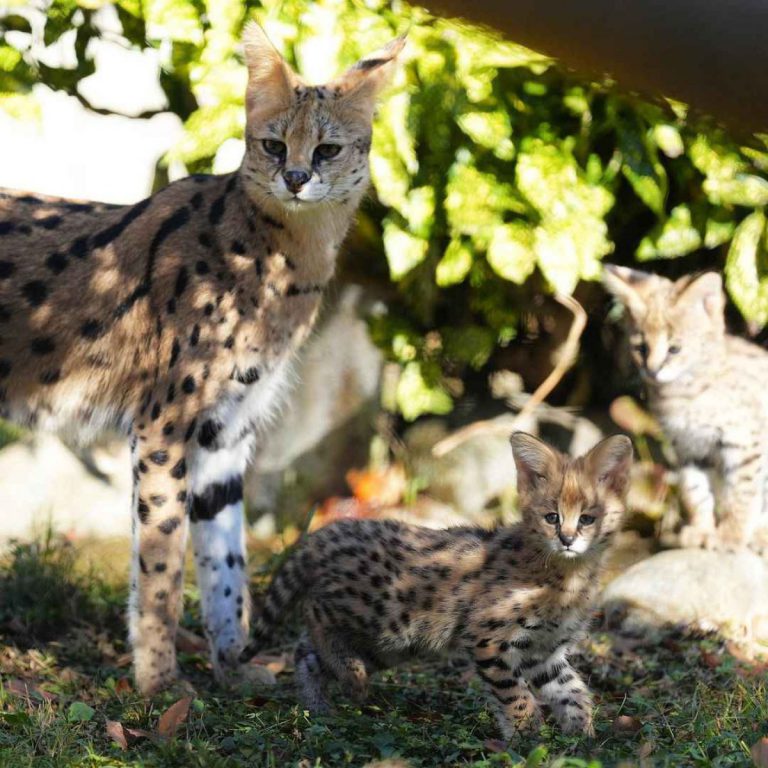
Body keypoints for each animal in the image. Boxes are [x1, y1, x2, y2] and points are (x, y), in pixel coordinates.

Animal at [0, 22, 404, 694]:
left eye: (326, 150)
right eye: (273, 144)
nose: (296, 177)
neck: (290, 264)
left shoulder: (226, 430)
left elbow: (228, 563)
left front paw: (234, 666)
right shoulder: (163, 424)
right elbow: (163, 563)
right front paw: (159, 683)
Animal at [240, 432, 633, 738]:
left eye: (588, 519)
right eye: (552, 517)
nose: (567, 539)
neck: (569, 573)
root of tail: (329, 532)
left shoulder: (544, 650)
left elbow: (572, 690)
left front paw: (581, 737)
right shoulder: (489, 637)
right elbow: (514, 695)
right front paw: (527, 737)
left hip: (388, 644)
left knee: (305, 652)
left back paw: (319, 707)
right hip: (381, 615)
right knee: (313, 614)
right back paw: (351, 679)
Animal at [603, 265, 768, 552]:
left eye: (674, 349)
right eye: (641, 348)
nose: (652, 371)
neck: (682, 393)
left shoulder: (744, 442)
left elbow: (742, 492)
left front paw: (731, 535)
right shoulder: (687, 446)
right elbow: (695, 489)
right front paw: (702, 531)